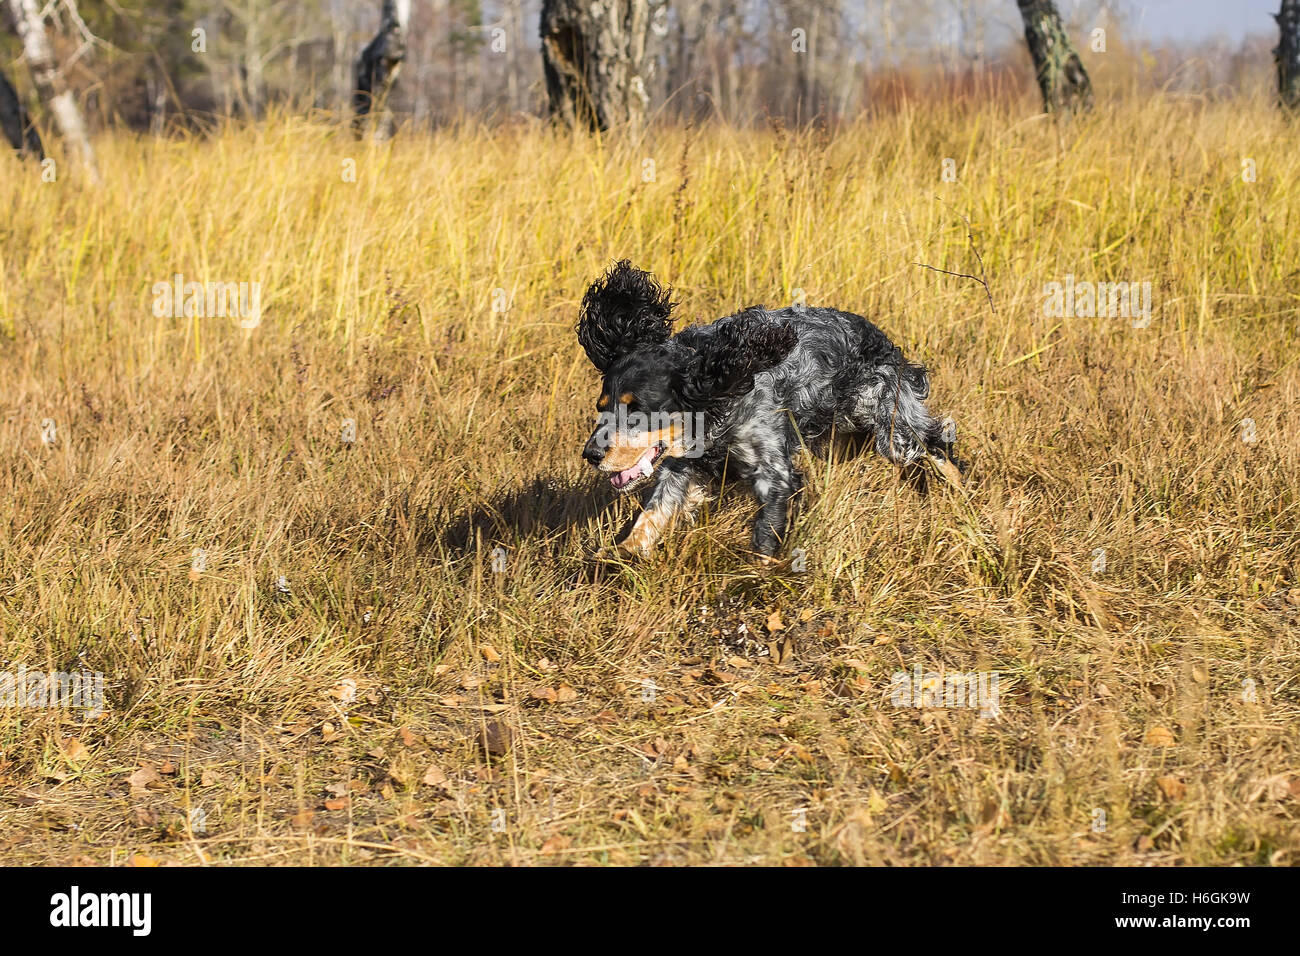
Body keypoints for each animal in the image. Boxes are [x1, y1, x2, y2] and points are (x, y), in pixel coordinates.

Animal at [579, 257, 967, 564]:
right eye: (602, 408)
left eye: (637, 411)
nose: (591, 455)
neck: (717, 393)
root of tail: (881, 338)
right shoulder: (680, 466)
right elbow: (653, 514)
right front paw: (617, 554)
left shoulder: (774, 473)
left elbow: (765, 537)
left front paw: (757, 578)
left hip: (892, 426)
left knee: (936, 446)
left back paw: (962, 497)